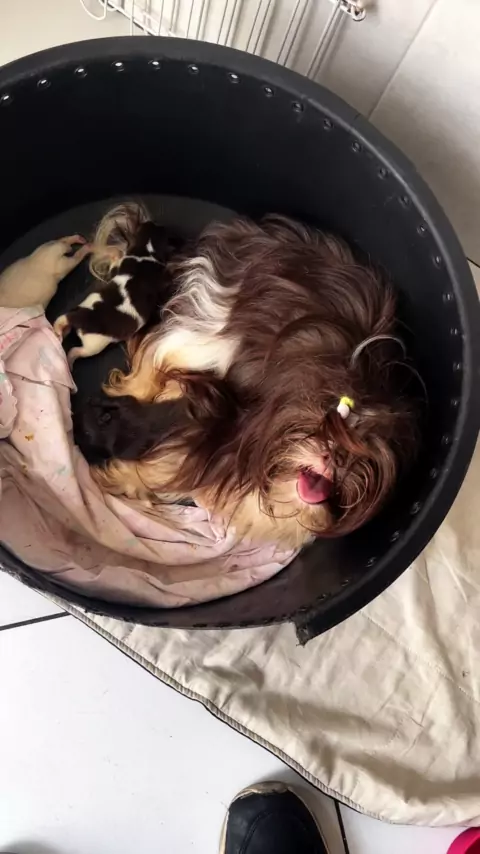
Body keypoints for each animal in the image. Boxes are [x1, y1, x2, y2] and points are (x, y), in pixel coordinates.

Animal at [53, 206, 182, 367]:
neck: (147, 249)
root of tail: (83, 316)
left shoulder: (121, 265)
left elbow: (115, 265)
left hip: (85, 304)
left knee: (65, 322)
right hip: (94, 345)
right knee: (75, 351)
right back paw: (70, 361)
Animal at [86, 214, 419, 549]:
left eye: (362, 452)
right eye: (321, 427)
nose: (335, 457)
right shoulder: (219, 424)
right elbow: (167, 463)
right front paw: (115, 477)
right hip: (209, 329)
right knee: (156, 349)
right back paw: (135, 387)